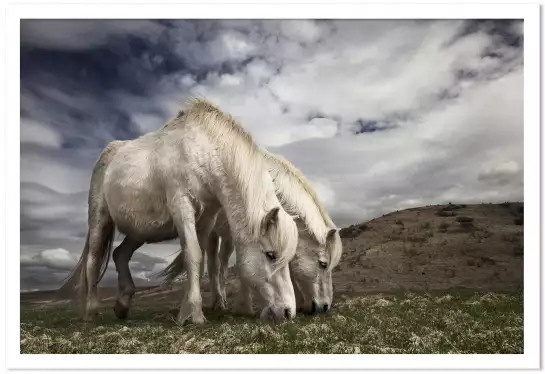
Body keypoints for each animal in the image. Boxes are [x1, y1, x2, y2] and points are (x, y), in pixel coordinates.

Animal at [59, 97, 298, 324]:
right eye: (271, 255)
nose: (288, 312)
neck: (203, 151)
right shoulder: (182, 207)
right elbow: (193, 254)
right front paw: (195, 314)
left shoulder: (206, 220)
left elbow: (198, 261)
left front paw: (187, 311)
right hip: (99, 219)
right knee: (93, 259)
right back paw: (90, 311)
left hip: (139, 232)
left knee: (120, 254)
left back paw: (123, 305)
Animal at [159, 149, 342, 316]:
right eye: (323, 264)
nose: (325, 307)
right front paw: (246, 307)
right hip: (213, 233)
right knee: (213, 265)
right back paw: (217, 302)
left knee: (222, 264)